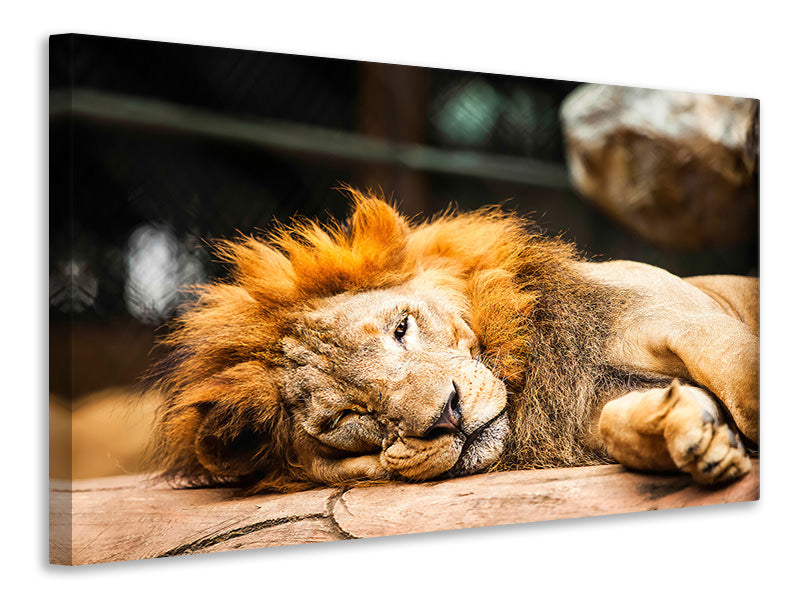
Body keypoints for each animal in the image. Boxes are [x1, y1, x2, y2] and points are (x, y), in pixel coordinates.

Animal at [146, 189, 759, 494]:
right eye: (345, 418)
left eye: (400, 329)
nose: (447, 416)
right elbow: (619, 423)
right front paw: (692, 435)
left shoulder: (680, 318)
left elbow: (743, 380)